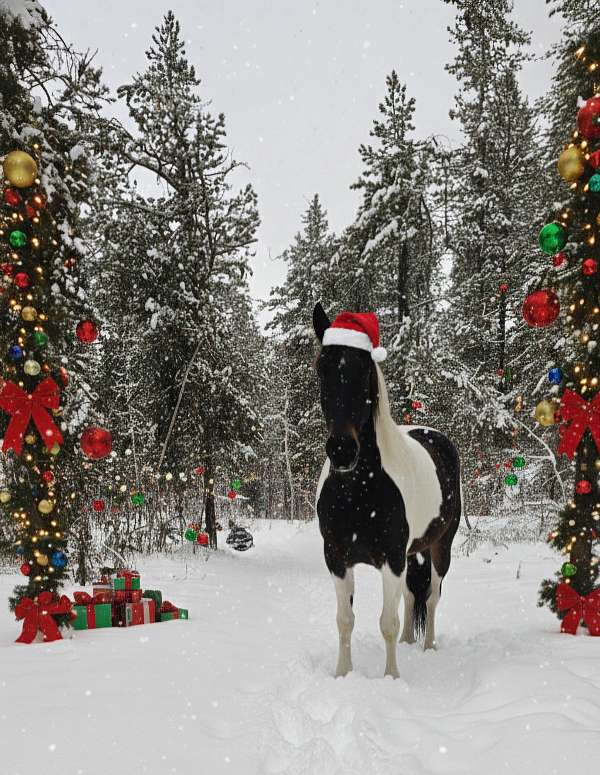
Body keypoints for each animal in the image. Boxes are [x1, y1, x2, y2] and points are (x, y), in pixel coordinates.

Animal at [313, 303, 461, 678]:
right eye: (322, 367)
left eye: (364, 368)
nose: (341, 450)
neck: (358, 491)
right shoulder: (336, 557)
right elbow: (345, 619)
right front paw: (343, 674)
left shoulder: (391, 559)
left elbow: (387, 623)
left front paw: (391, 677)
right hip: (412, 554)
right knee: (411, 597)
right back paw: (410, 641)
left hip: (441, 546)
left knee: (432, 597)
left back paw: (428, 646)